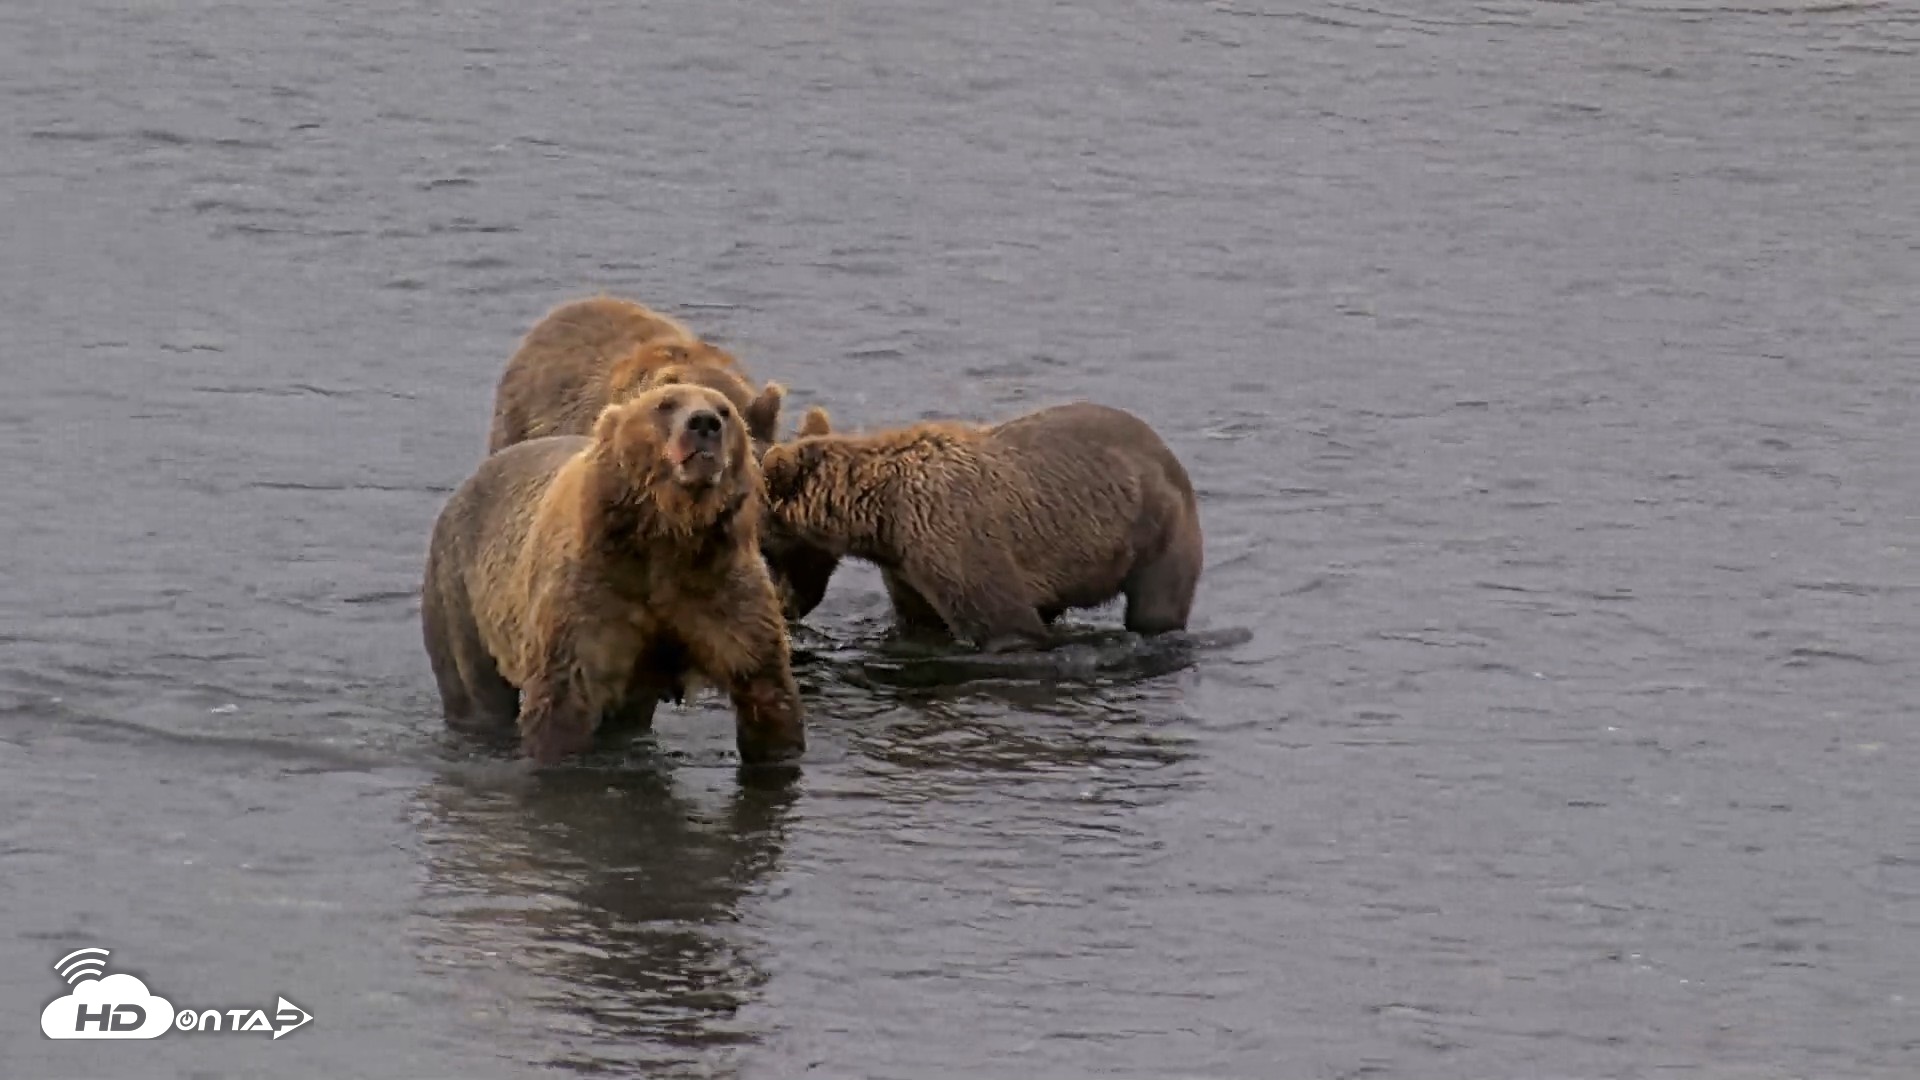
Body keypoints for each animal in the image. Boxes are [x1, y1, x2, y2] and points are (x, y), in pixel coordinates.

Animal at [422, 382, 806, 766]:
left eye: (724, 411)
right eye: (664, 405)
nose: (704, 423)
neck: (666, 528)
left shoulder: (715, 586)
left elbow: (764, 682)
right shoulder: (594, 592)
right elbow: (564, 695)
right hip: (459, 592)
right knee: (475, 690)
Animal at [757, 401, 1203, 652]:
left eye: (765, 548)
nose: (785, 607)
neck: (880, 516)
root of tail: (1167, 452)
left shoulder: (951, 539)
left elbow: (1005, 622)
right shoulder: (905, 567)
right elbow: (921, 620)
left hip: (1158, 530)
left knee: (1156, 605)